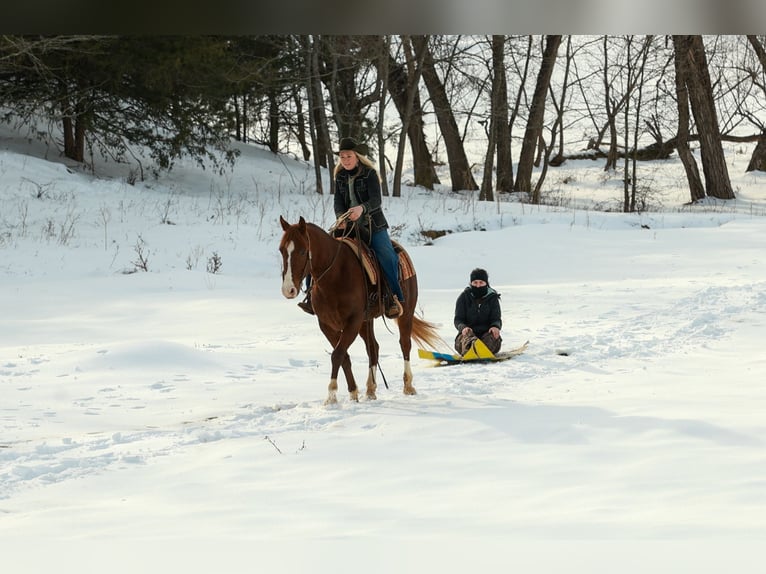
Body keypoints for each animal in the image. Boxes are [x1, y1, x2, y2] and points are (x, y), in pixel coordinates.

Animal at [279, 215, 442, 405]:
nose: (288, 290)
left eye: (303, 251)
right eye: (281, 250)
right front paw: (353, 392)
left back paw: (408, 386)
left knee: (405, 344)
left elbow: (337, 354)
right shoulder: (327, 324)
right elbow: (344, 356)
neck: (335, 275)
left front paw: (331, 395)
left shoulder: (353, 322)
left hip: (405, 313)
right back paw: (370, 389)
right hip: (366, 321)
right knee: (374, 348)